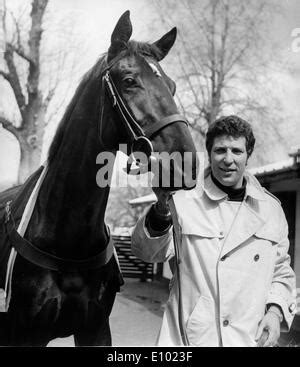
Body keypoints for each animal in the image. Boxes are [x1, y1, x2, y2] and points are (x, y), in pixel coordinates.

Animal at [0, 10, 198, 346]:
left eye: (171, 86)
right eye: (129, 81)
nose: (186, 164)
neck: (67, 243)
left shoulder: (95, 329)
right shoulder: (24, 335)